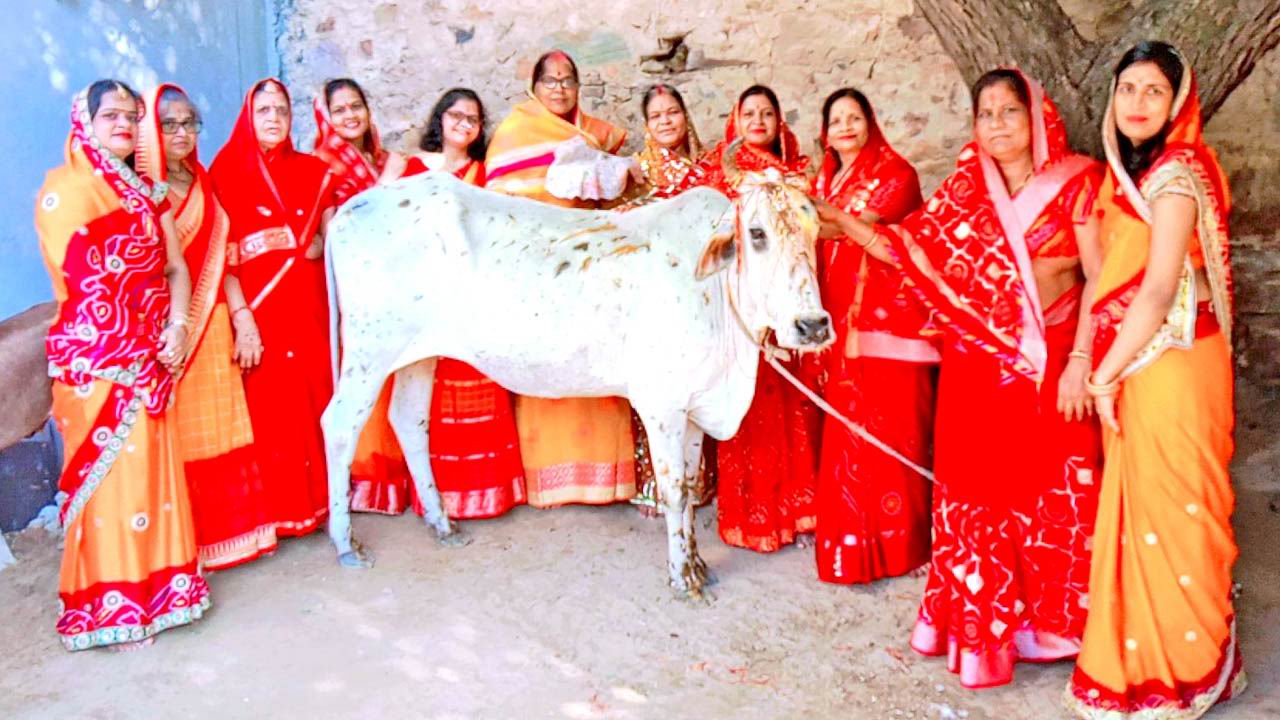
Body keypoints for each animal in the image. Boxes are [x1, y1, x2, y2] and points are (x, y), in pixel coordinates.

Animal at [321, 143, 831, 600]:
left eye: (814, 228)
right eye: (757, 233)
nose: (812, 324)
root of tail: (353, 207)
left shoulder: (694, 405)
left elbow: (688, 484)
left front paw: (698, 564)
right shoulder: (662, 406)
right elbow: (674, 491)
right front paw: (683, 578)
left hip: (416, 355)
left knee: (409, 420)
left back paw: (443, 524)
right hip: (369, 351)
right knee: (340, 424)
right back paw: (346, 542)